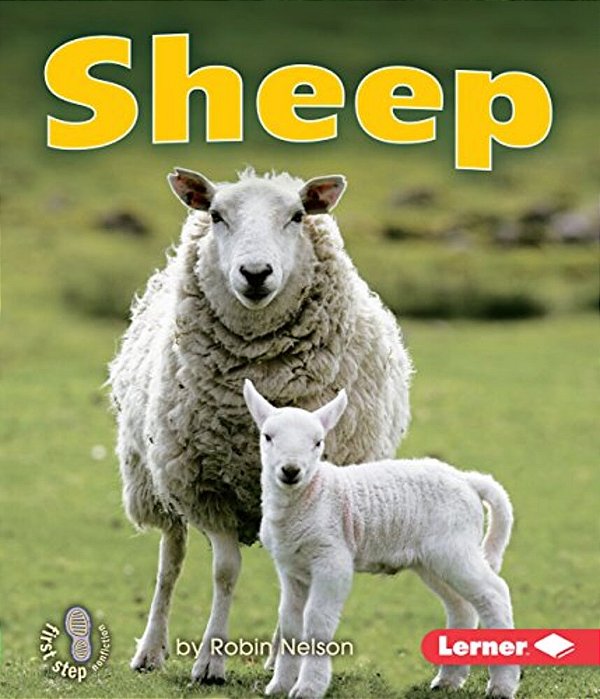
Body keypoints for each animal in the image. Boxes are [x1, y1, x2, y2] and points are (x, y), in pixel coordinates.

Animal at [108, 167, 413, 683]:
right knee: (170, 564)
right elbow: (224, 572)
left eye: (297, 216)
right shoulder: (207, 490)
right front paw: (210, 662)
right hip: (158, 480)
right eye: (216, 215)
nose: (255, 274)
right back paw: (150, 651)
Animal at [243, 379, 519, 699]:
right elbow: (289, 623)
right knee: (462, 606)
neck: (308, 499)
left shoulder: (332, 559)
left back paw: (502, 685)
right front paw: (279, 686)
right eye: (267, 437)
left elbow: (317, 621)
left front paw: (309, 687)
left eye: (318, 442)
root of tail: (467, 480)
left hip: (455, 546)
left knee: (494, 594)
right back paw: (448, 680)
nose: (290, 471)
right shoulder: (291, 568)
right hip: (433, 560)